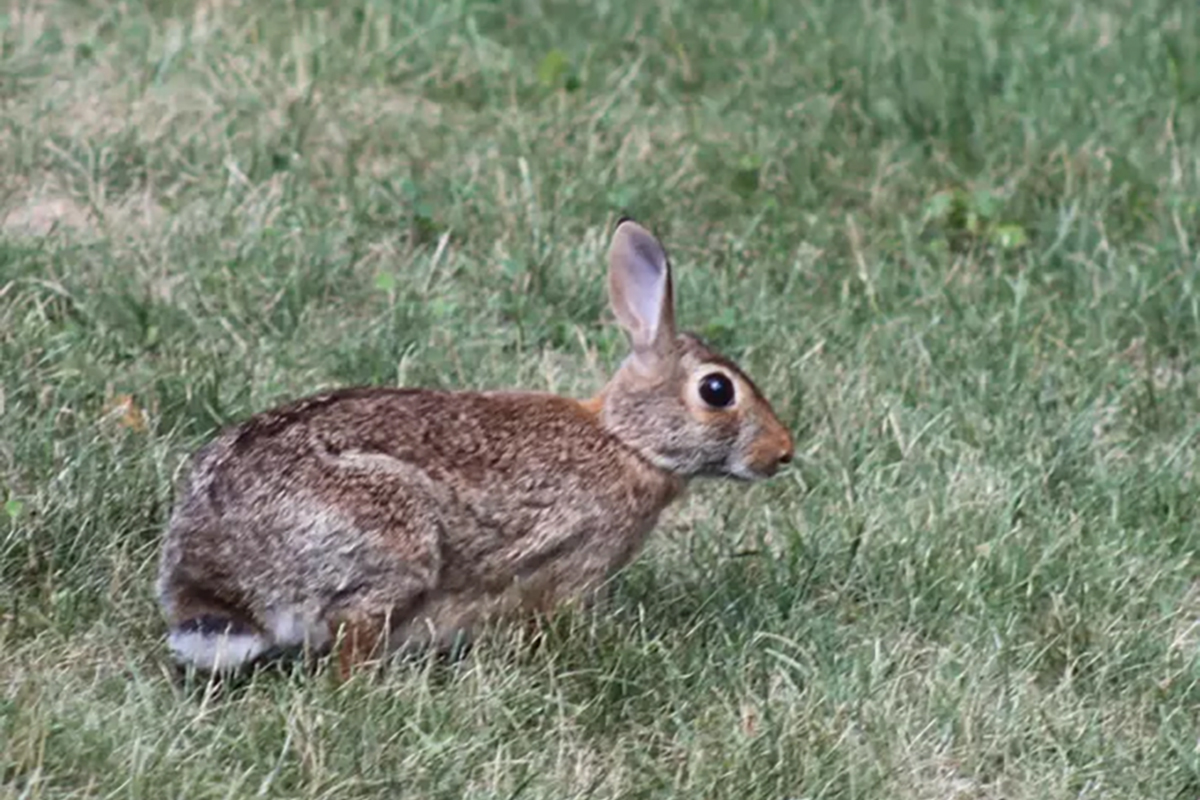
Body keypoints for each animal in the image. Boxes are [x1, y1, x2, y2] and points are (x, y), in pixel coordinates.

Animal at [159, 217, 796, 676]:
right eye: (717, 390)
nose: (783, 451)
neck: (626, 441)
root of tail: (218, 578)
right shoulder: (572, 562)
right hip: (395, 538)